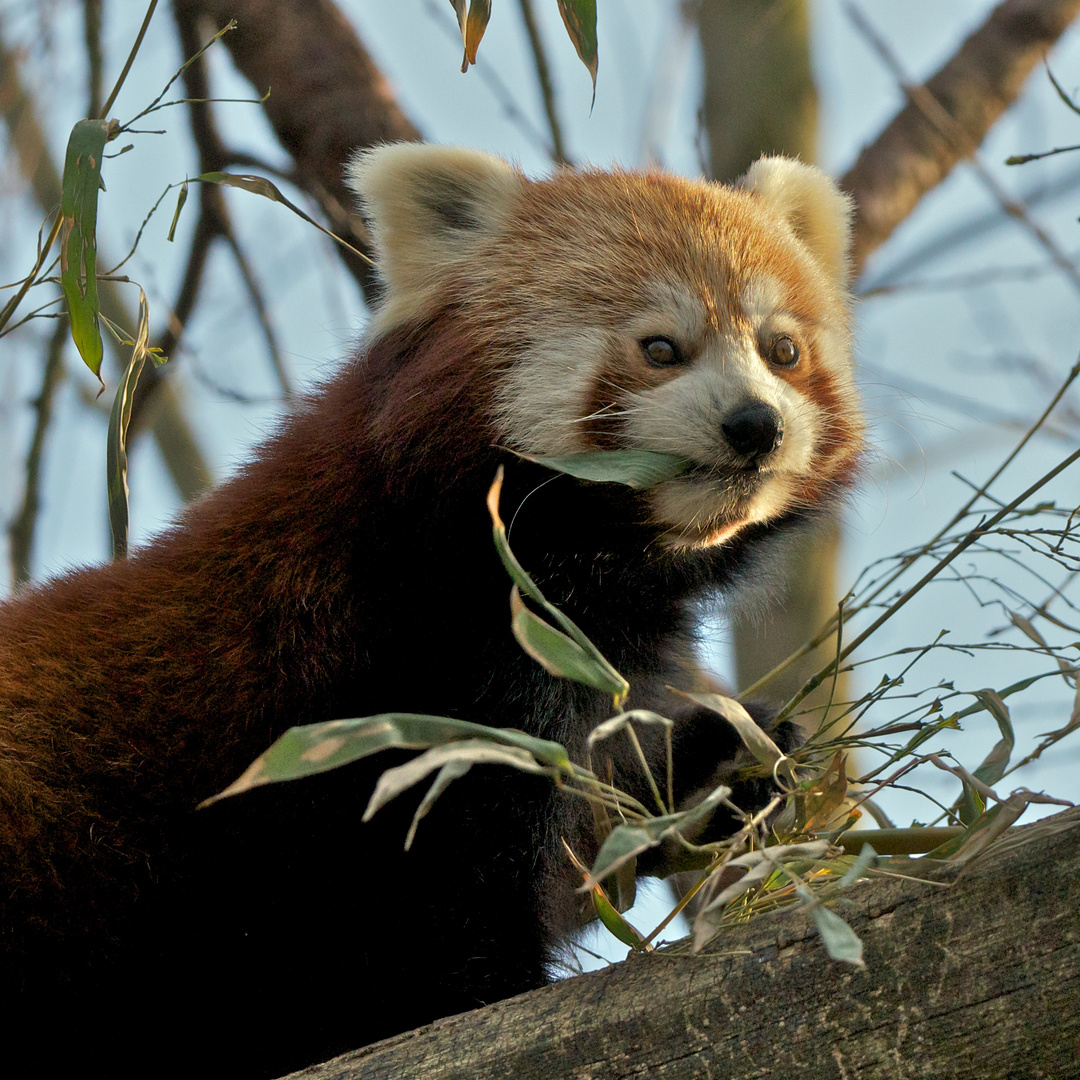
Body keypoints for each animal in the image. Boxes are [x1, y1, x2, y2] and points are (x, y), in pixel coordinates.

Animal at [0, 145, 859, 1080]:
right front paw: (489, 998)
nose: (755, 424)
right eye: (661, 348)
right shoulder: (385, 690)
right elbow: (423, 917)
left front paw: (721, 762)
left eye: (782, 349)